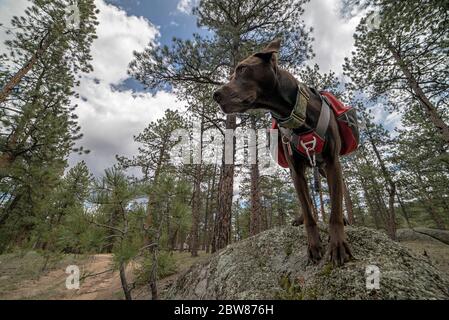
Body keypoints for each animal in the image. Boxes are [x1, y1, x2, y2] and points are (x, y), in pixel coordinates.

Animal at [212, 38, 352, 266]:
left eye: (242, 69)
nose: (215, 95)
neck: (296, 113)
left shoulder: (332, 161)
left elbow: (335, 209)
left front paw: (338, 244)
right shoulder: (295, 170)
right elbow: (309, 213)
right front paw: (313, 244)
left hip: (324, 167)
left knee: (339, 191)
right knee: (307, 201)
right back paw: (301, 217)